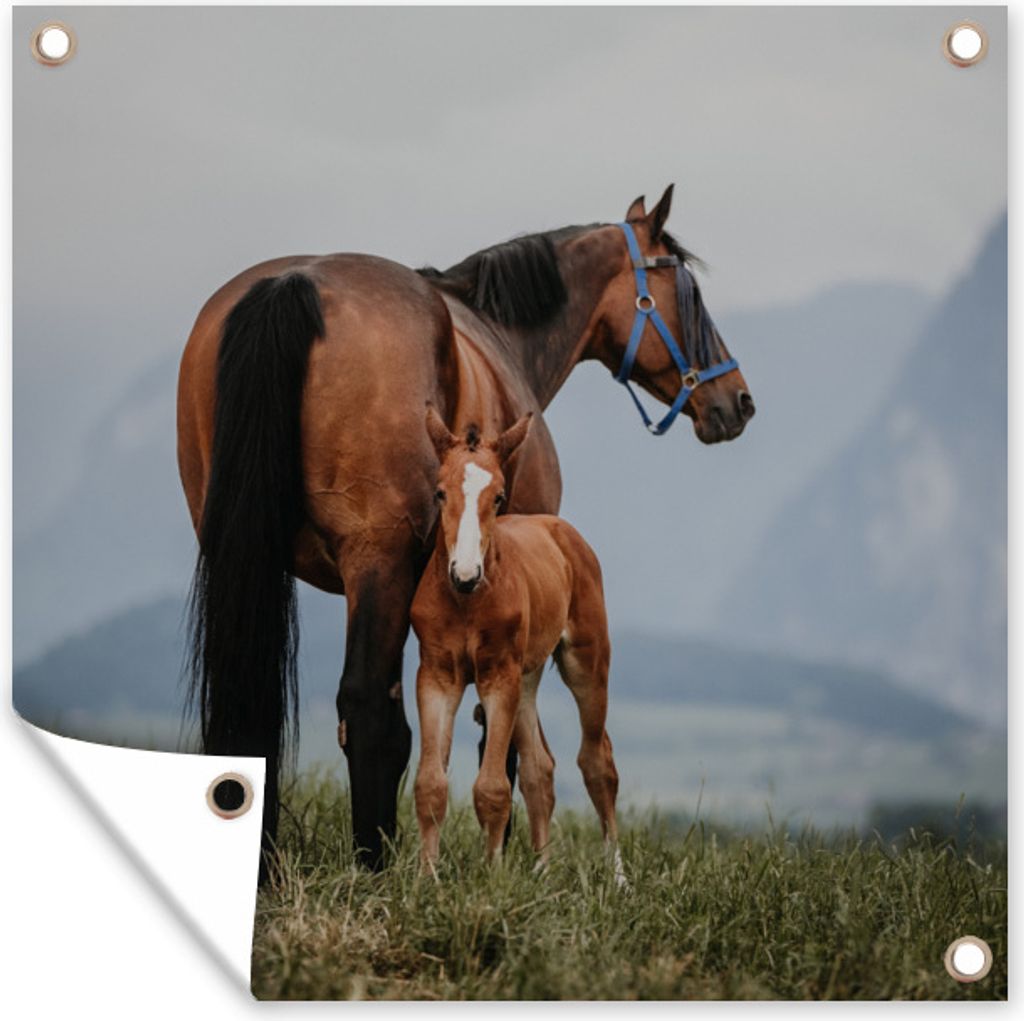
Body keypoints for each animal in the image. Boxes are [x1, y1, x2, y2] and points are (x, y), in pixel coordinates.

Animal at [412, 408, 620, 870]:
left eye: (499, 497)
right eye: (439, 493)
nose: (465, 574)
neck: (466, 603)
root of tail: (559, 528)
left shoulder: (497, 675)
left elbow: (492, 787)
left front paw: (492, 875)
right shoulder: (437, 676)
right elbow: (430, 784)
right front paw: (425, 876)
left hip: (585, 662)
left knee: (598, 761)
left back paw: (618, 876)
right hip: (527, 677)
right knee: (539, 767)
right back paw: (542, 869)